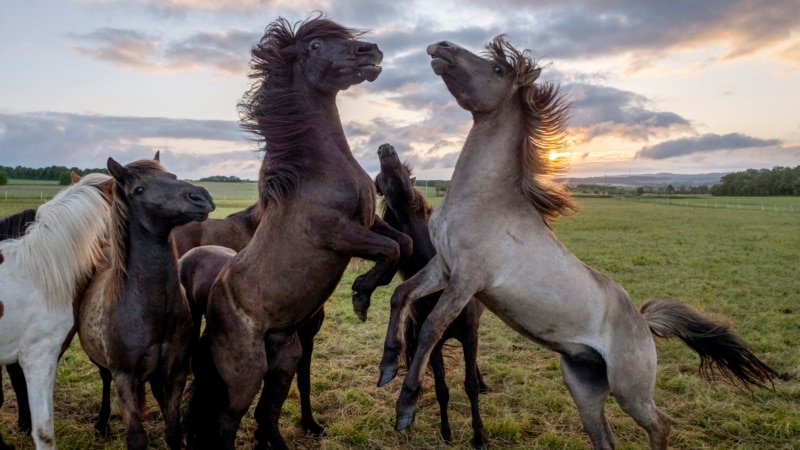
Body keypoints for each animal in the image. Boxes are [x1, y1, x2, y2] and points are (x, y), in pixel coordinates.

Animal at [77, 153, 216, 448]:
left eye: (172, 176)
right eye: (138, 190)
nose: (200, 197)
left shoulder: (176, 373)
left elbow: (174, 432)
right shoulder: (125, 378)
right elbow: (137, 438)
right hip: (107, 369)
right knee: (104, 383)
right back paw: (101, 424)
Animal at [184, 14, 410, 450]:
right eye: (316, 46)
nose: (371, 51)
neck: (316, 169)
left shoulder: (367, 220)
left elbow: (403, 244)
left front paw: (366, 295)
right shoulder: (338, 232)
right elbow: (390, 249)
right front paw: (360, 297)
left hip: (284, 358)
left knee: (266, 416)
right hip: (247, 370)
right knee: (225, 423)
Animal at [374, 143, 488, 446]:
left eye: (407, 168)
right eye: (378, 180)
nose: (385, 149)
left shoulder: (469, 333)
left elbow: (469, 386)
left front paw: (479, 436)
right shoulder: (434, 347)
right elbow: (441, 389)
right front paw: (446, 433)